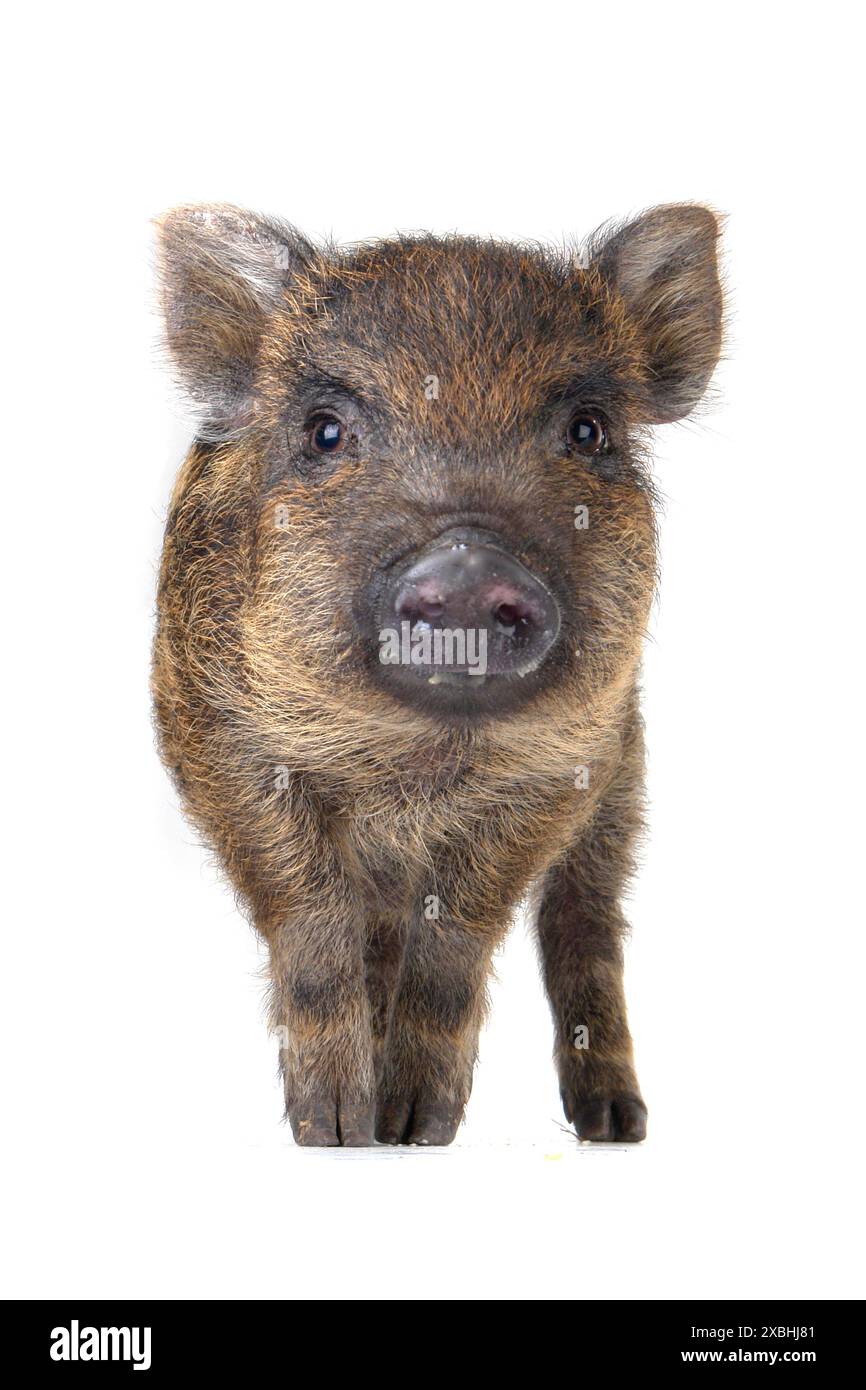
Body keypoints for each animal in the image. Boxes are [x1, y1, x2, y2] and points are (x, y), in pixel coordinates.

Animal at [153, 202, 722, 1146]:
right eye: (326, 431)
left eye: (588, 430)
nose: (466, 560)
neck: (413, 767)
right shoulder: (216, 736)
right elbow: (312, 921)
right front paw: (336, 1134)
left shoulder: (565, 766)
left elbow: (461, 933)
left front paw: (418, 1130)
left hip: (624, 789)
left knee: (585, 921)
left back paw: (615, 1127)